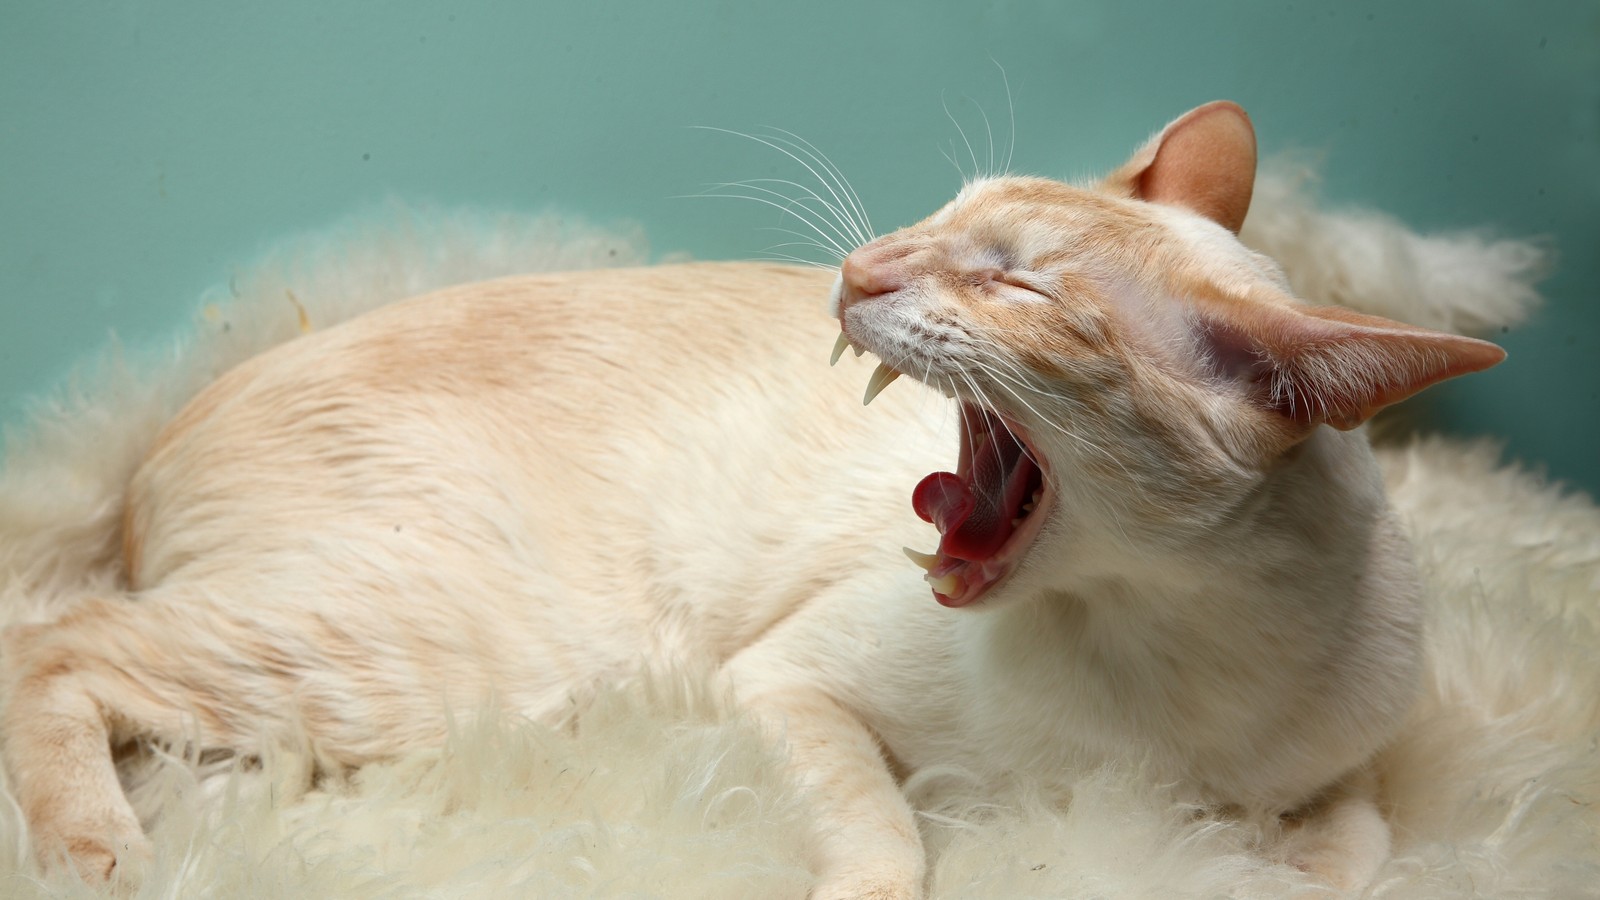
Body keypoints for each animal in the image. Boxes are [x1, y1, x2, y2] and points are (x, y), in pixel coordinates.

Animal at [0, 101, 1497, 890]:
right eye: (939, 215)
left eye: (1013, 282)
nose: (859, 269)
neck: (1154, 659)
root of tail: (136, 460)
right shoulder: (786, 683)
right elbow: (889, 843)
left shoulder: (1345, 774)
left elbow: (1347, 848)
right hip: (446, 659)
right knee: (54, 644)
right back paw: (115, 855)